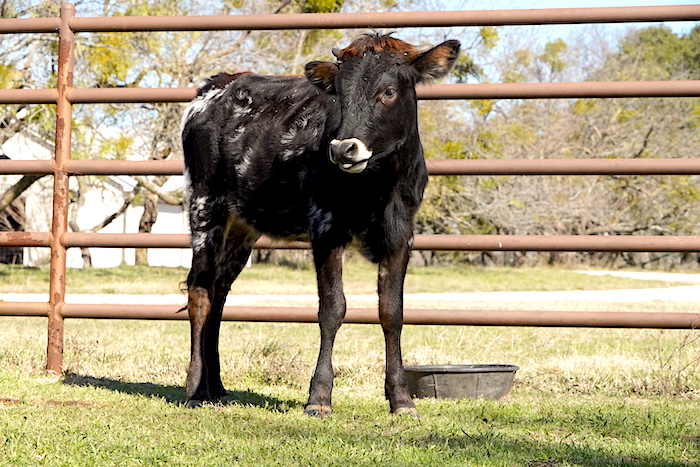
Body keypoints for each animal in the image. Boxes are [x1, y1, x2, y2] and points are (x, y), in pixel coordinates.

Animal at [180, 33, 460, 416]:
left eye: (388, 91)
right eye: (338, 94)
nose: (343, 149)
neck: (377, 188)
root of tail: (218, 84)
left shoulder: (401, 235)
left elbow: (392, 312)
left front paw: (401, 400)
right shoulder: (326, 230)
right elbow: (332, 308)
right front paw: (319, 397)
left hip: (241, 224)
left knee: (219, 292)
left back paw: (216, 387)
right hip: (204, 204)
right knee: (200, 292)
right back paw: (195, 389)